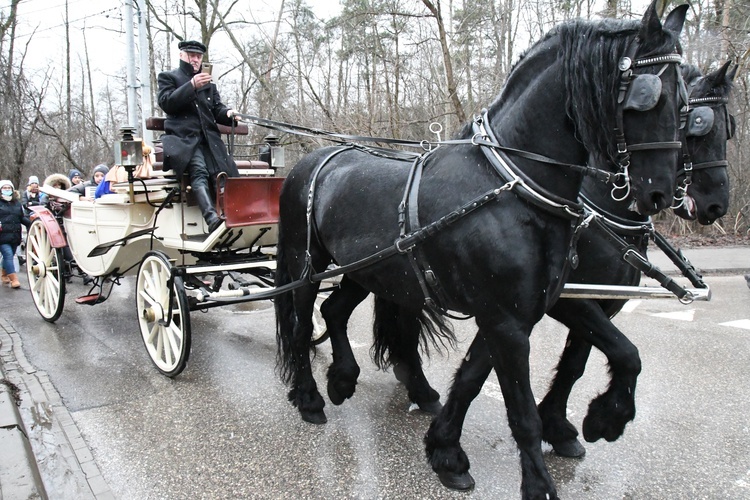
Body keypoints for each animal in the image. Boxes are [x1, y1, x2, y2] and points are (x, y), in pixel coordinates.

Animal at [274, 2, 688, 496]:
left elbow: (478, 377)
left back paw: (342, 379)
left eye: (686, 102)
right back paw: (309, 397)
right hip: (306, 263)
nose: (660, 194)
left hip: (368, 270)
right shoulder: (506, 319)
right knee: (301, 325)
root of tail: (312, 158)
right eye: (647, 96)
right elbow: (522, 413)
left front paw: (447, 452)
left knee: (333, 310)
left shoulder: (527, 308)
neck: (514, 187)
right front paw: (539, 481)